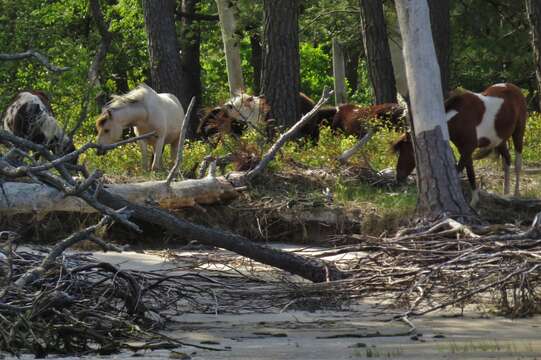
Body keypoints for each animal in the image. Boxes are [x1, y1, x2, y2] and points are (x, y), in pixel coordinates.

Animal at [392, 83, 528, 204]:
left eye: (409, 151)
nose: (398, 176)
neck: (459, 118)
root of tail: (514, 88)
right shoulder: (465, 150)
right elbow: (470, 173)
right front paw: (474, 202)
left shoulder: (468, 150)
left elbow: (458, 173)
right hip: (499, 140)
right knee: (507, 160)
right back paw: (506, 193)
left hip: (518, 133)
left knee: (517, 163)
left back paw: (516, 193)